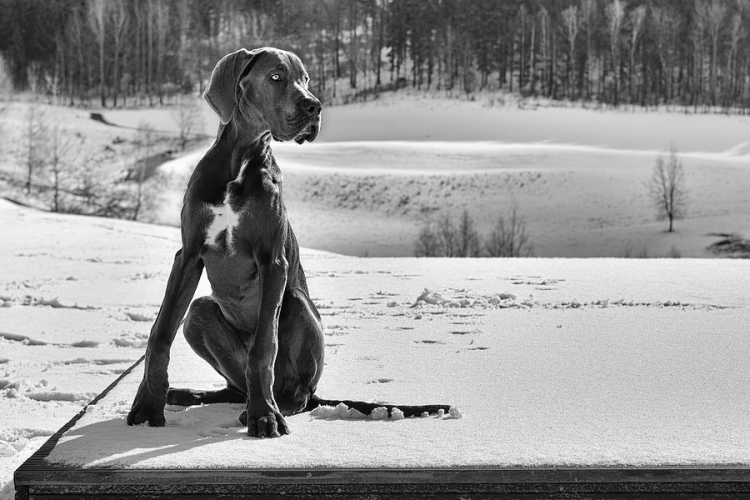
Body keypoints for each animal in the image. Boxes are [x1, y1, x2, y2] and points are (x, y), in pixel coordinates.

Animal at [127, 47, 450, 438]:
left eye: (306, 79)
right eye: (276, 77)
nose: (315, 106)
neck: (240, 161)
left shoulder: (273, 261)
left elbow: (264, 345)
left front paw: (264, 415)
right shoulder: (188, 255)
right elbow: (160, 332)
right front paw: (148, 405)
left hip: (294, 302)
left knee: (296, 391)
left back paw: (272, 405)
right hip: (199, 314)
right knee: (231, 382)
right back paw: (191, 394)